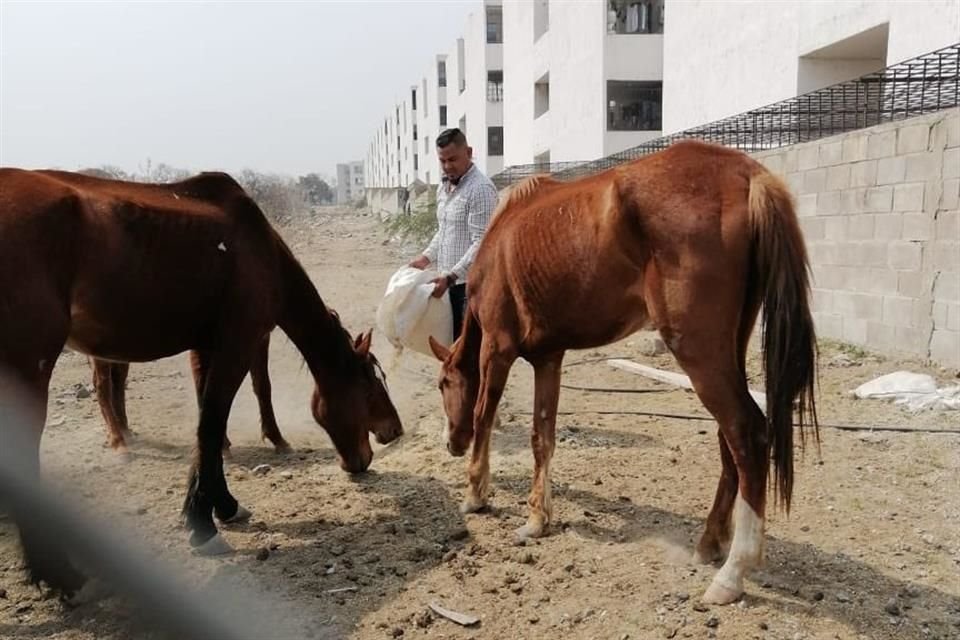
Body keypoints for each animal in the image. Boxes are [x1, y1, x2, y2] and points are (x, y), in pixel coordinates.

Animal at [91, 330, 292, 456]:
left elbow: (263, 386)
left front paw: (278, 440)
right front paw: (221, 445)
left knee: (117, 377)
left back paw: (124, 430)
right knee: (102, 384)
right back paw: (118, 442)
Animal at [432, 140, 820, 604]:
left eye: (443, 384)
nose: (450, 444)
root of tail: (746, 173)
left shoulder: (497, 349)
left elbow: (484, 417)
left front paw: (475, 494)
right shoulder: (549, 358)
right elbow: (542, 437)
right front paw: (538, 519)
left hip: (698, 351)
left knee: (748, 433)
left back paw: (732, 572)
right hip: (729, 346)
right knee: (731, 440)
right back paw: (710, 542)